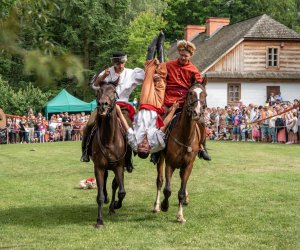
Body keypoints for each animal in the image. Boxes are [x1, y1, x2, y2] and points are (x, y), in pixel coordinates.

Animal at [154, 79, 207, 224]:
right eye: (190, 93)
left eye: (205, 94)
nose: (197, 113)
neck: (185, 135)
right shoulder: (170, 164)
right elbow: (167, 189)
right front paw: (164, 205)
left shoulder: (188, 165)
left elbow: (181, 191)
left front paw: (180, 215)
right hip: (161, 159)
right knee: (159, 181)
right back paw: (156, 206)